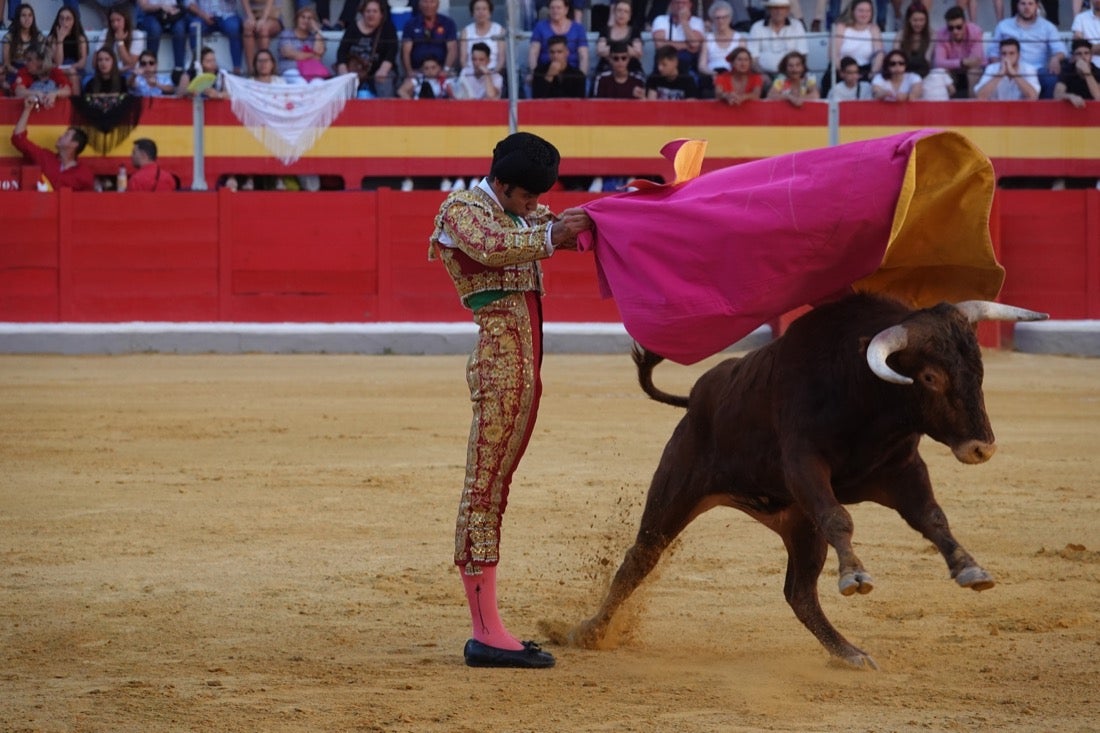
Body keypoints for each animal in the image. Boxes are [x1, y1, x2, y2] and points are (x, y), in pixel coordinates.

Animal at [576, 290, 1047, 669]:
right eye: (930, 377)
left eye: (978, 369)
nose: (981, 447)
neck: (863, 392)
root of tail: (695, 398)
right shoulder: (805, 465)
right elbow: (841, 518)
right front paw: (855, 577)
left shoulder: (902, 469)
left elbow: (932, 517)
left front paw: (970, 568)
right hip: (677, 488)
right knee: (641, 558)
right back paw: (590, 632)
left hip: (799, 522)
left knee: (799, 592)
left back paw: (851, 653)